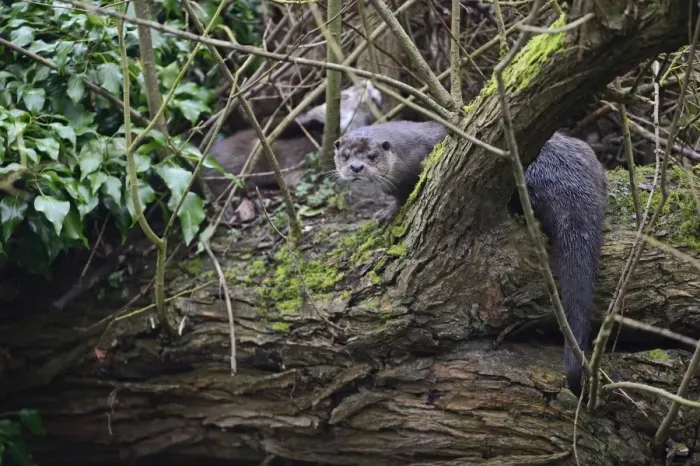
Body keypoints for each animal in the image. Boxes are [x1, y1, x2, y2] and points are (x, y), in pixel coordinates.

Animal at [334, 121, 608, 397]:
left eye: (372, 156)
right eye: (345, 155)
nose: (356, 167)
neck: (407, 152)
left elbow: (404, 198)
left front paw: (387, 212)